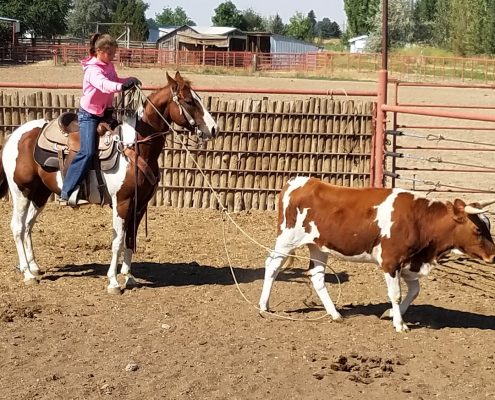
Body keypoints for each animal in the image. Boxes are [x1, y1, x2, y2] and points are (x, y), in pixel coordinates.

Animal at [0, 70, 217, 292]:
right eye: (189, 101)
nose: (214, 129)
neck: (135, 148)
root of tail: (15, 135)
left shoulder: (140, 205)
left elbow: (131, 239)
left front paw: (129, 277)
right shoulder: (122, 202)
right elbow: (117, 240)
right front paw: (113, 281)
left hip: (40, 193)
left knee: (28, 225)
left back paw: (34, 267)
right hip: (21, 191)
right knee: (17, 226)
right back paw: (27, 273)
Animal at [260, 177, 495, 332]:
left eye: (488, 225)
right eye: (477, 229)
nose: (493, 256)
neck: (419, 219)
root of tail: (299, 181)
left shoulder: (408, 263)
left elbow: (414, 291)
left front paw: (390, 313)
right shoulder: (391, 262)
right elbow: (396, 294)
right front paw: (400, 324)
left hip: (318, 246)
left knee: (317, 276)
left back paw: (335, 314)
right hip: (287, 239)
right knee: (272, 266)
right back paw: (263, 306)